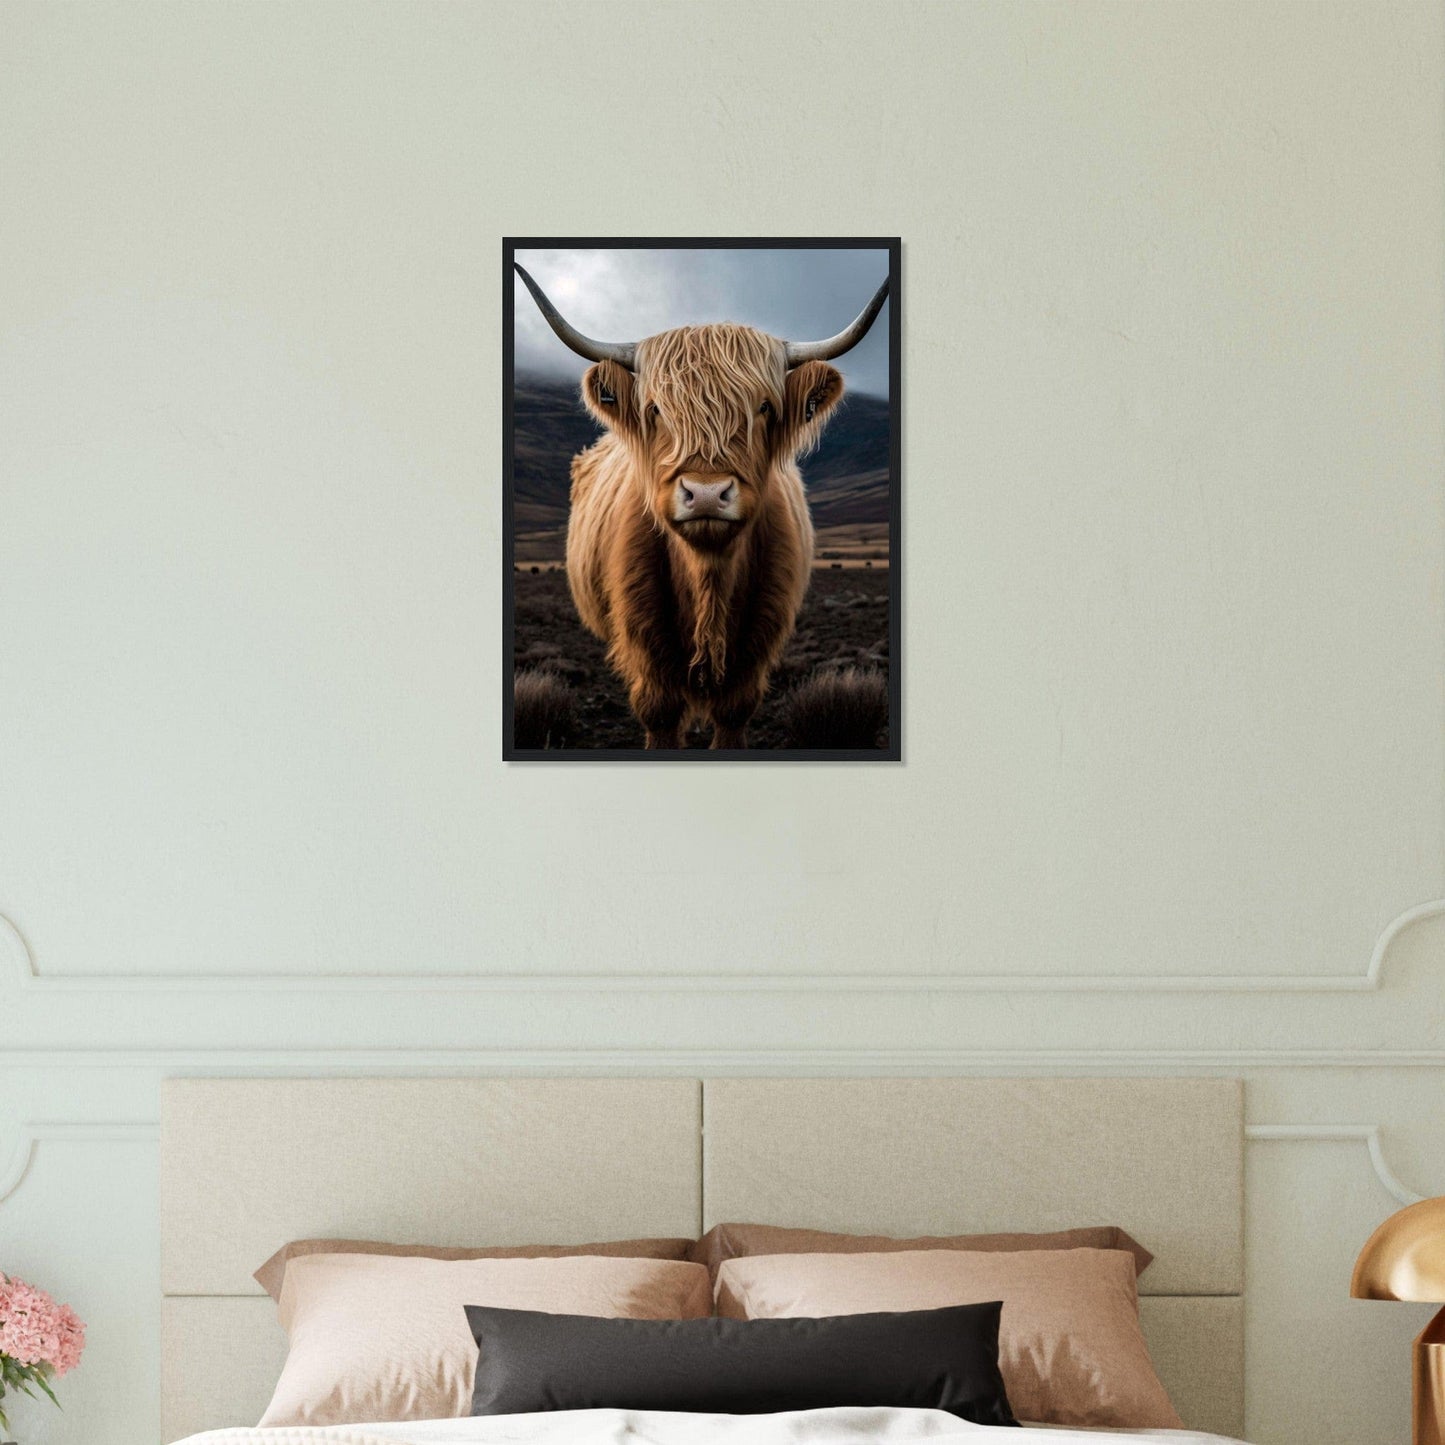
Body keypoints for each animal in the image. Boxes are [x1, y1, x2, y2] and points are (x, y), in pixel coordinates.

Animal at [515, 263, 888, 749]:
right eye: (655, 408)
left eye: (763, 407)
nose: (706, 493)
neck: (707, 577)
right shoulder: (645, 649)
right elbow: (660, 714)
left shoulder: (756, 649)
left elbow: (733, 713)